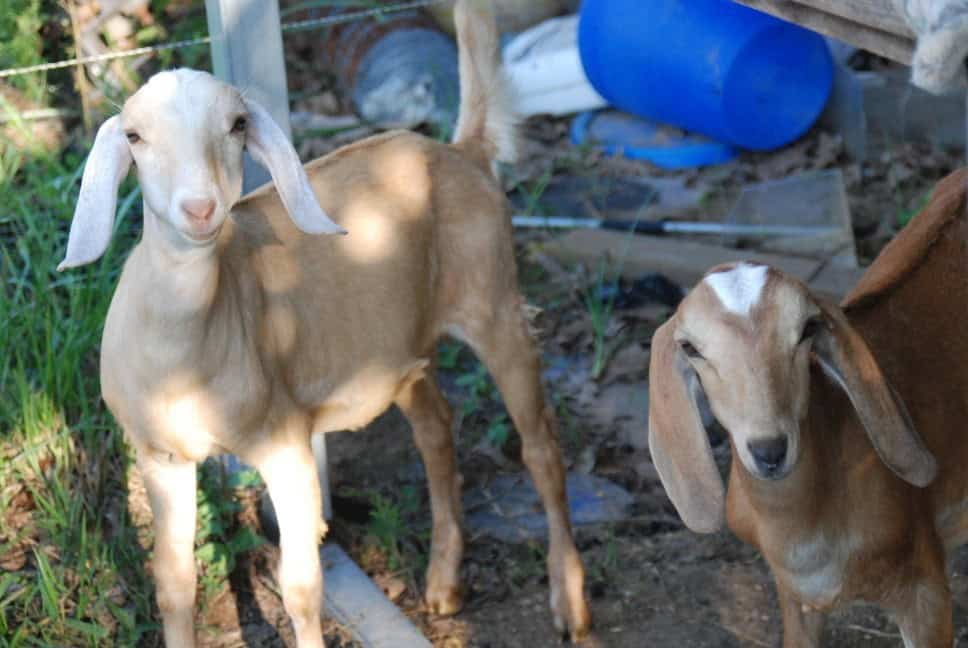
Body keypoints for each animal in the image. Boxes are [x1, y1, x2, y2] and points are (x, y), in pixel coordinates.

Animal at [58, 2, 591, 645]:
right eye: (134, 136)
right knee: (436, 429)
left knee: (541, 447)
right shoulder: (159, 456)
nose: (200, 209)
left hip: (495, 303)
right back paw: (442, 584)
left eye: (238, 124)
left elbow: (301, 588)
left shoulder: (286, 444)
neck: (186, 357)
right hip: (405, 347)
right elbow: (175, 586)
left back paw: (571, 605)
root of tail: (462, 150)